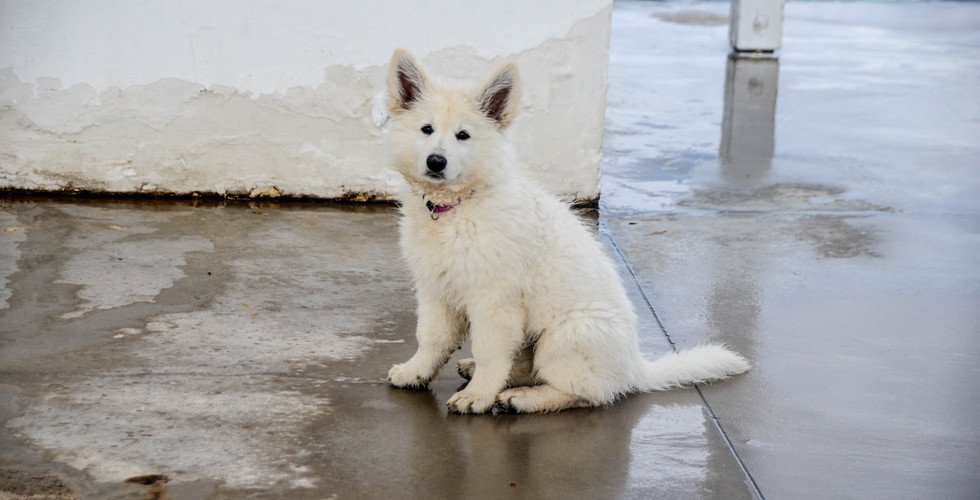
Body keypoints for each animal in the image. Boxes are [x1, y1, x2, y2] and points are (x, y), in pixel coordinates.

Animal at [384, 49, 750, 414]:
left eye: (463, 135)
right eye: (426, 129)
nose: (436, 161)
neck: (456, 208)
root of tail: (635, 369)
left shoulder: (494, 301)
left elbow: (490, 351)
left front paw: (478, 395)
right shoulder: (435, 290)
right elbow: (431, 338)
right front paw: (416, 372)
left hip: (565, 336)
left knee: (587, 393)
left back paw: (523, 398)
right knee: (527, 367)